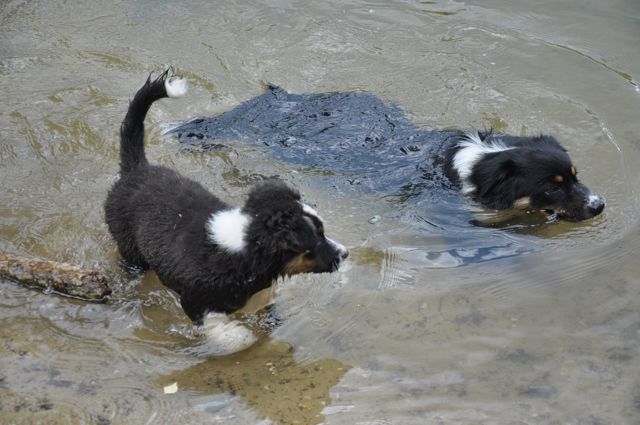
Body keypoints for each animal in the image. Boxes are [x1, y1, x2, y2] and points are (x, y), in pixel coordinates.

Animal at [104, 71, 348, 352]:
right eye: (315, 240)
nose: (345, 254)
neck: (246, 249)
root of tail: (137, 168)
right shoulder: (195, 301)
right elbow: (222, 329)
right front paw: (242, 338)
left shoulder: (260, 294)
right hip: (131, 250)